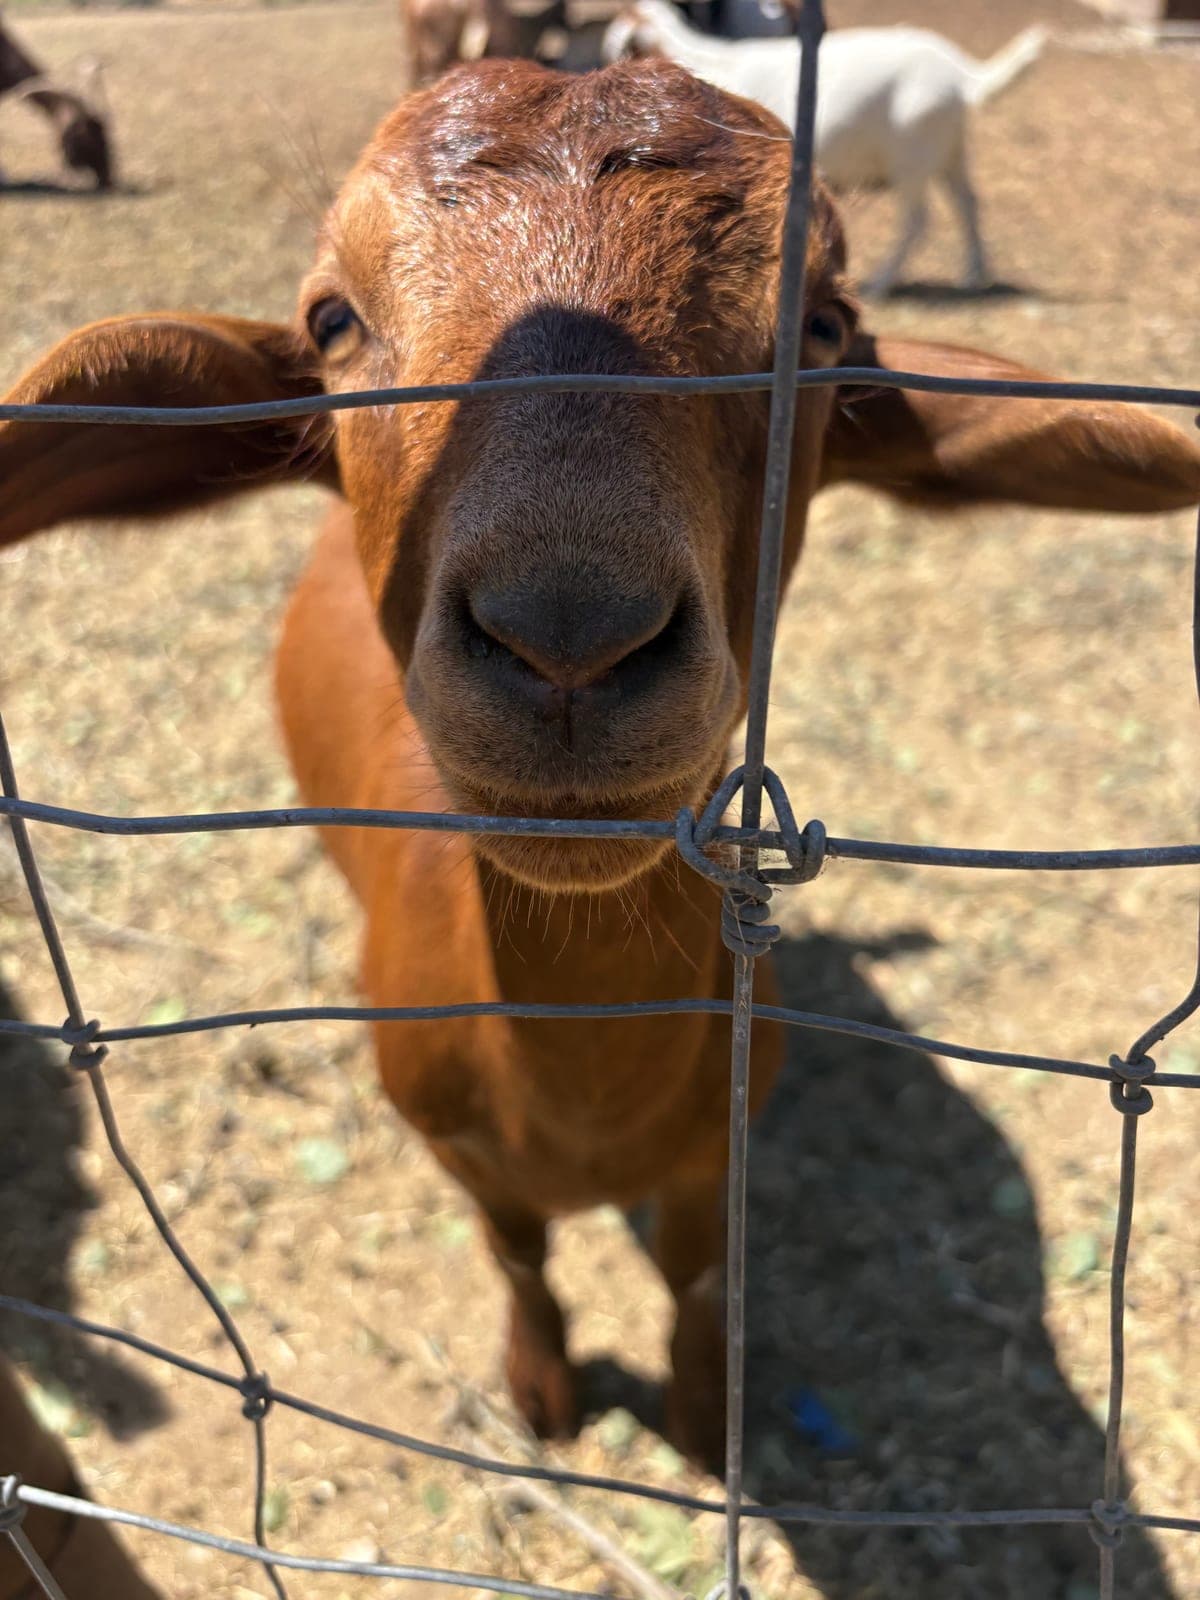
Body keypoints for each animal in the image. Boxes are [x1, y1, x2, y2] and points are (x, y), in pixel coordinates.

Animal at [2, 59, 1197, 1468]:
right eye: (332, 318)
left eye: (826, 325)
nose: (569, 629)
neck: (581, 1103)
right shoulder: (462, 1148)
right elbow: (519, 1257)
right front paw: (544, 1391)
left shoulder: (713, 1141)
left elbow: (694, 1274)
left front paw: (699, 1416)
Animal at [603, 1, 1046, 296]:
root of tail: (960, 72)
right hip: (950, 151)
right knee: (968, 202)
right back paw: (974, 276)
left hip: (912, 157)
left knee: (918, 220)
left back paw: (880, 284)